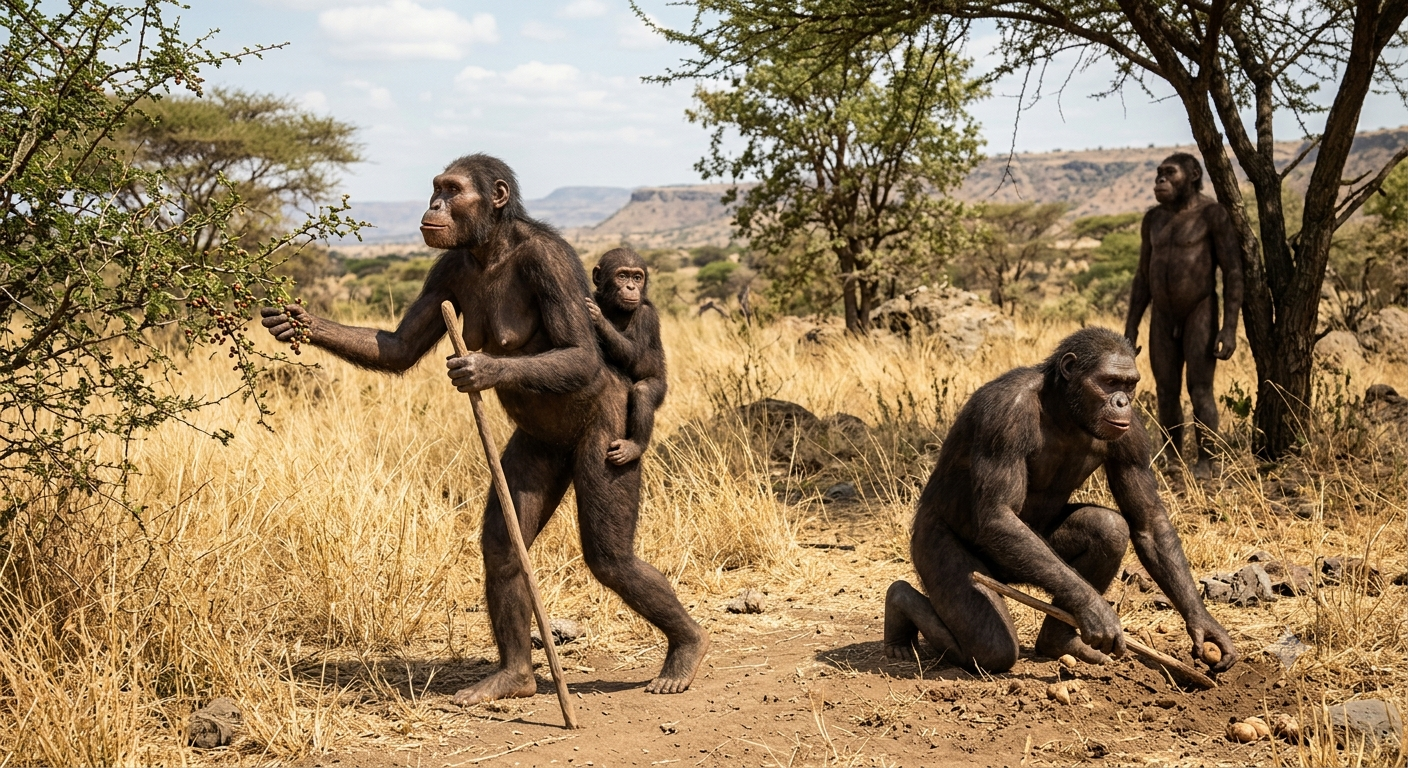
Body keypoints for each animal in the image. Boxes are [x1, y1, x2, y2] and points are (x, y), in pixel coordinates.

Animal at [584, 247, 666, 466]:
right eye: (622, 276)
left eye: (637, 277)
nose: (631, 287)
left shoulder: (646, 316)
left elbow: (633, 352)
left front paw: (599, 319)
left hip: (661, 387)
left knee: (643, 392)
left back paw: (634, 447)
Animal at [883, 327, 1237, 674]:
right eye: (1110, 382)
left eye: (1129, 384)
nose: (1122, 401)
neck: (1063, 409)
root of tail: (1004, 578)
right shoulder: (1003, 416)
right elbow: (998, 513)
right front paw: (1096, 611)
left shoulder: (1133, 433)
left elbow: (1148, 521)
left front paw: (1205, 626)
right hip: (935, 547)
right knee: (990, 643)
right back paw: (899, 608)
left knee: (1107, 529)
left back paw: (1058, 641)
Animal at [1125, 153, 1243, 479]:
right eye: (1160, 172)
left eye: (1170, 171)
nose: (1160, 181)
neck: (1182, 206)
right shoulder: (1148, 223)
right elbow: (1143, 274)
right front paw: (1129, 334)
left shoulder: (1220, 218)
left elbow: (1232, 270)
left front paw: (1227, 339)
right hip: (1161, 325)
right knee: (1168, 388)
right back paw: (1172, 459)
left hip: (1200, 319)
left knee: (1200, 389)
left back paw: (1204, 464)